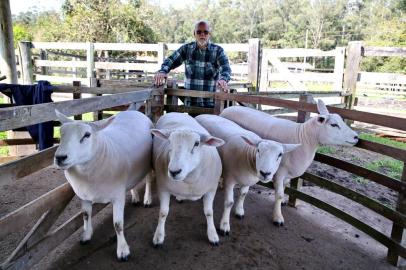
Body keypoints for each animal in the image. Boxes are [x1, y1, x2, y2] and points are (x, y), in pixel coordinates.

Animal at [54, 110, 153, 260]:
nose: (60, 158)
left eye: (87, 135)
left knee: (148, 180)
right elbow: (86, 215)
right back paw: (135, 197)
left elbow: (118, 224)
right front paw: (86, 235)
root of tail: (135, 111)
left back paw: (147, 199)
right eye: (61, 133)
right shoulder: (83, 195)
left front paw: (122, 250)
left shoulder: (117, 196)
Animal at [151, 112, 224, 247]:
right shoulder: (163, 188)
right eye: (169, 141)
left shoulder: (211, 189)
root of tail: (176, 112)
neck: (189, 181)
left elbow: (209, 212)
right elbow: (163, 213)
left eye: (197, 143)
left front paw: (213, 235)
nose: (174, 171)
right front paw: (158, 236)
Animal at [222, 99, 358, 226]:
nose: (356, 137)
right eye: (334, 125)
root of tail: (229, 108)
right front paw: (278, 217)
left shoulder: (287, 174)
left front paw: (282, 203)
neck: (304, 138)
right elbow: (279, 194)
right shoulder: (279, 172)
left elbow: (284, 187)